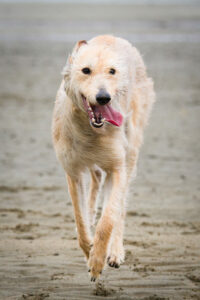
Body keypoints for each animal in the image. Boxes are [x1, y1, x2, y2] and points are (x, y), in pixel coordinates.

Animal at [51, 35, 155, 282]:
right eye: (85, 70)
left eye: (112, 71)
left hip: (131, 151)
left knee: (120, 205)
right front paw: (88, 247)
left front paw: (98, 261)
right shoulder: (73, 172)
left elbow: (108, 219)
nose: (103, 98)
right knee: (96, 180)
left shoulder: (116, 169)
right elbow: (79, 220)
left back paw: (115, 251)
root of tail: (115, 38)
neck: (90, 130)